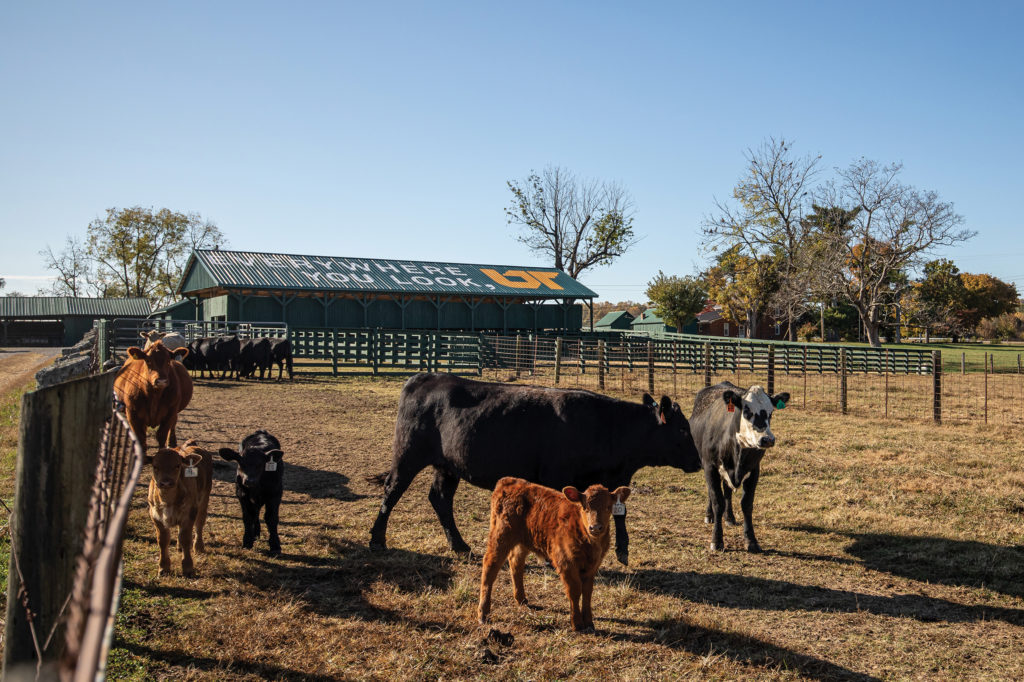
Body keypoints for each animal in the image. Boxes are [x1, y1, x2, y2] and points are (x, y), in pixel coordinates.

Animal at [146, 438, 214, 577]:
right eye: (155, 466)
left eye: (177, 465)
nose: (166, 482)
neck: (167, 500)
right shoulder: (155, 515)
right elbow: (163, 540)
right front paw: (163, 567)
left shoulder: (189, 513)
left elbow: (186, 538)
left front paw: (187, 567)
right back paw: (179, 547)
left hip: (204, 498)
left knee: (200, 523)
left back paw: (198, 546)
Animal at [368, 372, 704, 561]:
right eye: (683, 429)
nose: (699, 461)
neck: (608, 426)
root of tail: (422, 378)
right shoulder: (557, 477)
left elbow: (618, 514)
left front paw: (622, 549)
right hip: (408, 455)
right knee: (392, 491)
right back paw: (377, 540)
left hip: (447, 465)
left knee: (440, 499)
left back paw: (460, 545)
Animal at [479, 475, 630, 630]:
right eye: (585, 507)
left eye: (608, 507)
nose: (595, 527)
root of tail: (508, 481)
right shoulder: (566, 562)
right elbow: (575, 590)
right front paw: (577, 623)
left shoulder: (593, 565)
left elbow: (587, 592)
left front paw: (589, 622)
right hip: (500, 535)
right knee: (490, 566)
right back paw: (483, 613)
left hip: (522, 541)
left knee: (516, 563)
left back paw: (521, 599)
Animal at [688, 378, 790, 548]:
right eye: (747, 411)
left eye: (771, 412)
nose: (767, 439)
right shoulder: (710, 466)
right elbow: (717, 502)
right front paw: (717, 540)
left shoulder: (754, 470)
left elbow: (746, 504)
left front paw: (751, 540)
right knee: (712, 493)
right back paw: (709, 515)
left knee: (727, 492)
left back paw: (729, 517)